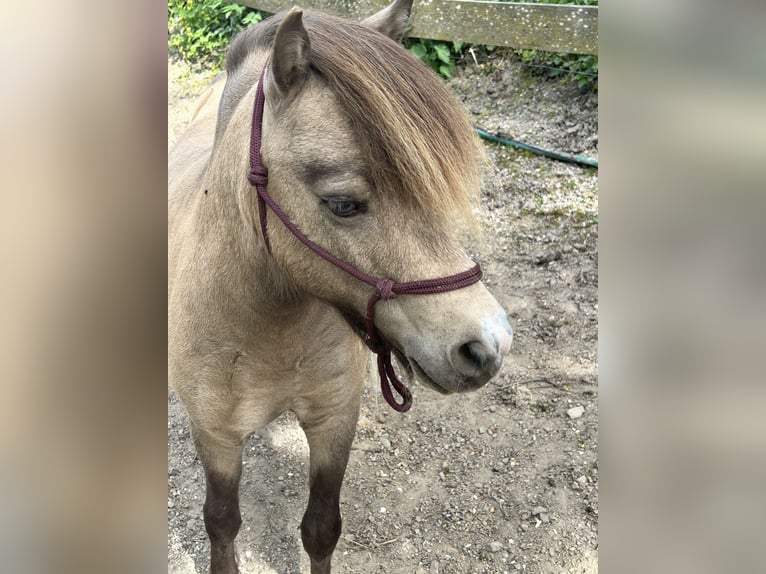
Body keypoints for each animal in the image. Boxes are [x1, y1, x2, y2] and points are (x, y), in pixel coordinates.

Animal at [168, 2, 513, 572]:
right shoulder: (216, 437)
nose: (488, 346)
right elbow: (220, 523)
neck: (266, 329)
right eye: (343, 204)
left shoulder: (334, 421)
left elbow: (321, 528)